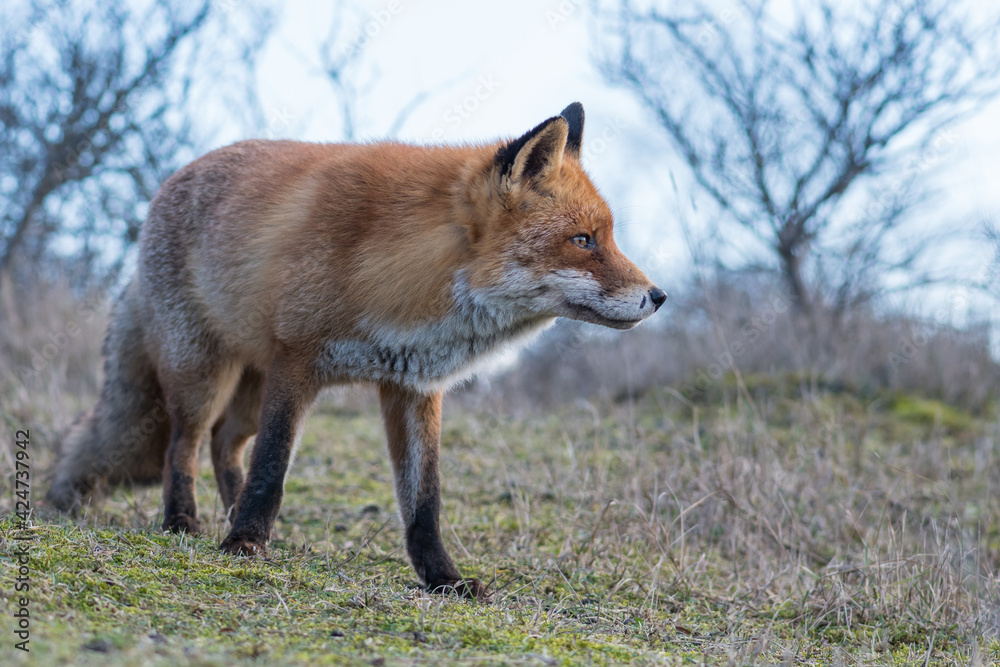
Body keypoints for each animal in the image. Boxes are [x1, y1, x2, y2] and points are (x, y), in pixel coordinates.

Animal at [47, 103, 666, 599]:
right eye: (583, 241)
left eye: (607, 237)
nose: (659, 296)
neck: (402, 272)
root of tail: (168, 183)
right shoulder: (296, 362)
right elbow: (272, 466)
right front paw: (244, 545)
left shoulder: (413, 386)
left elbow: (424, 504)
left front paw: (443, 580)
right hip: (204, 372)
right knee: (186, 442)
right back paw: (185, 522)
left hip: (248, 386)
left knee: (225, 445)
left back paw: (232, 515)